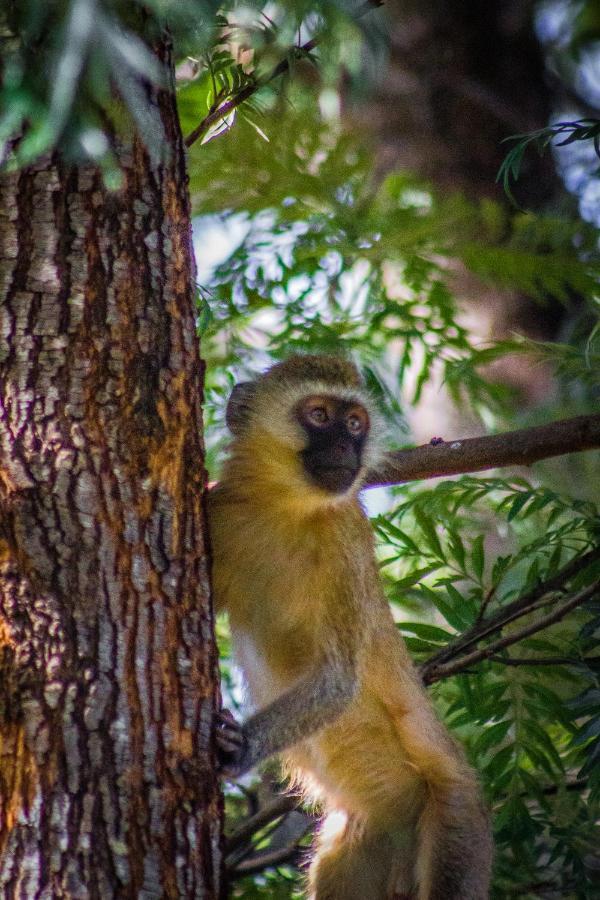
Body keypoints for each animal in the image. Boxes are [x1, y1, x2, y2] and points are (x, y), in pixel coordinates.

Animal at [206, 356, 492, 896]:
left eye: (355, 423)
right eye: (319, 415)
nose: (345, 447)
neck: (285, 509)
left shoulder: (347, 545)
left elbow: (338, 680)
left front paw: (241, 747)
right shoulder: (219, 511)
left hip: (457, 821)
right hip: (363, 839)